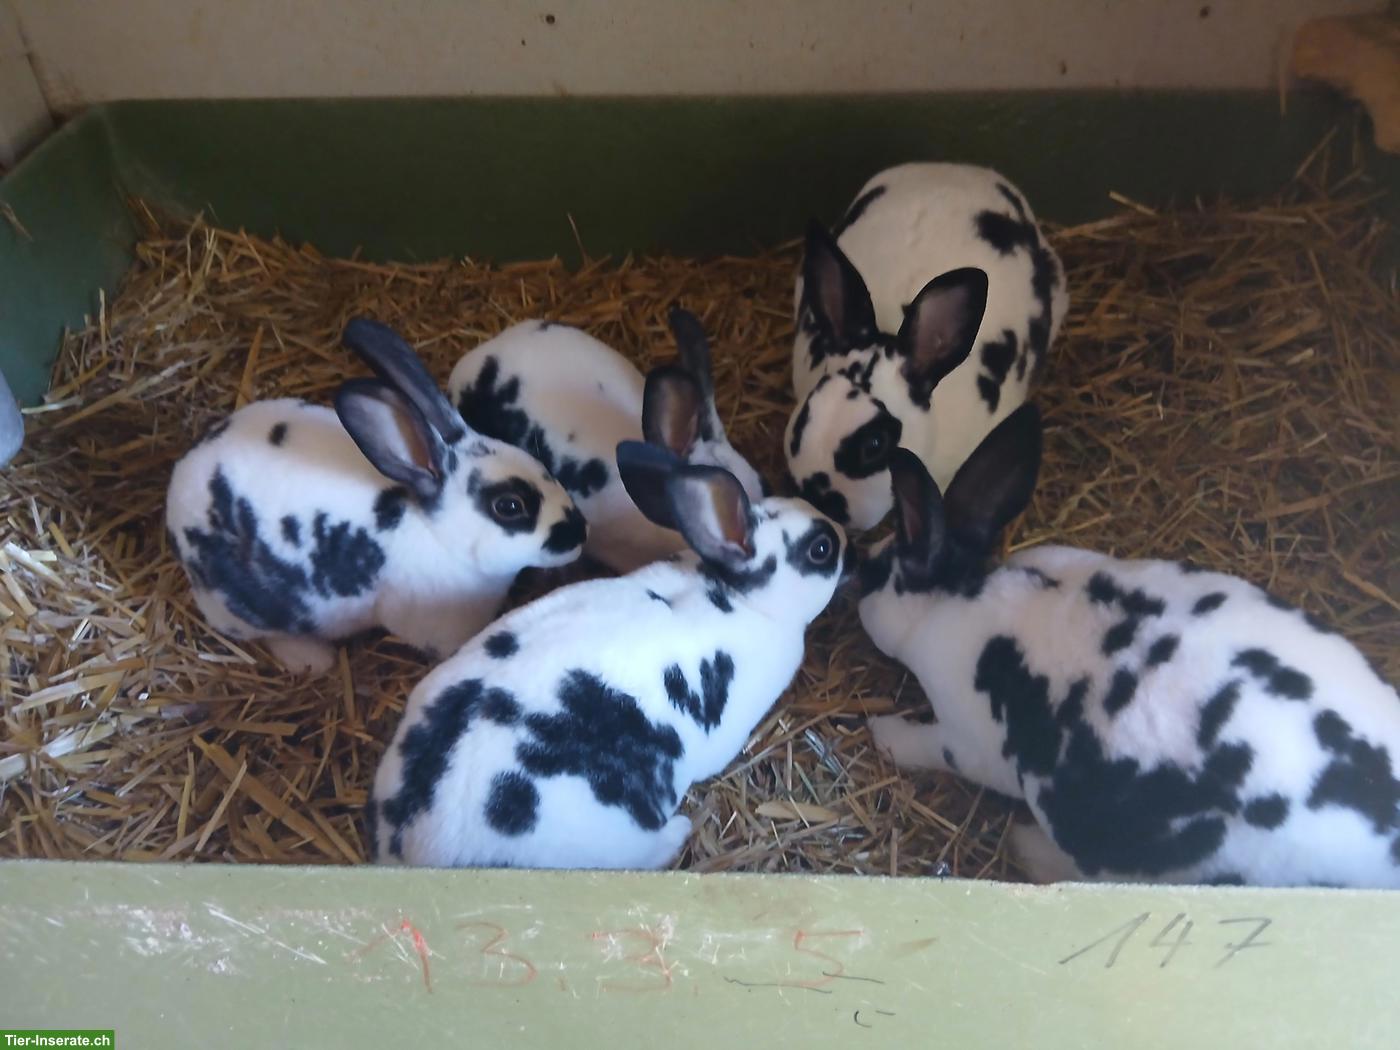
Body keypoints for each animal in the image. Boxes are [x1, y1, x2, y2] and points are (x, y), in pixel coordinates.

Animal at [166, 317, 587, 675]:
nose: (579, 533)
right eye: (509, 506)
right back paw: (312, 659)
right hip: (242, 605)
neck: (437, 533)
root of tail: (176, 490)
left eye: (541, 465)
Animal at [858, 404, 1400, 888]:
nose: (857, 576)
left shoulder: (963, 742)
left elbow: (924, 746)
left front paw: (881, 732)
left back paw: (1025, 845)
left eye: (874, 574)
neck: (960, 592)